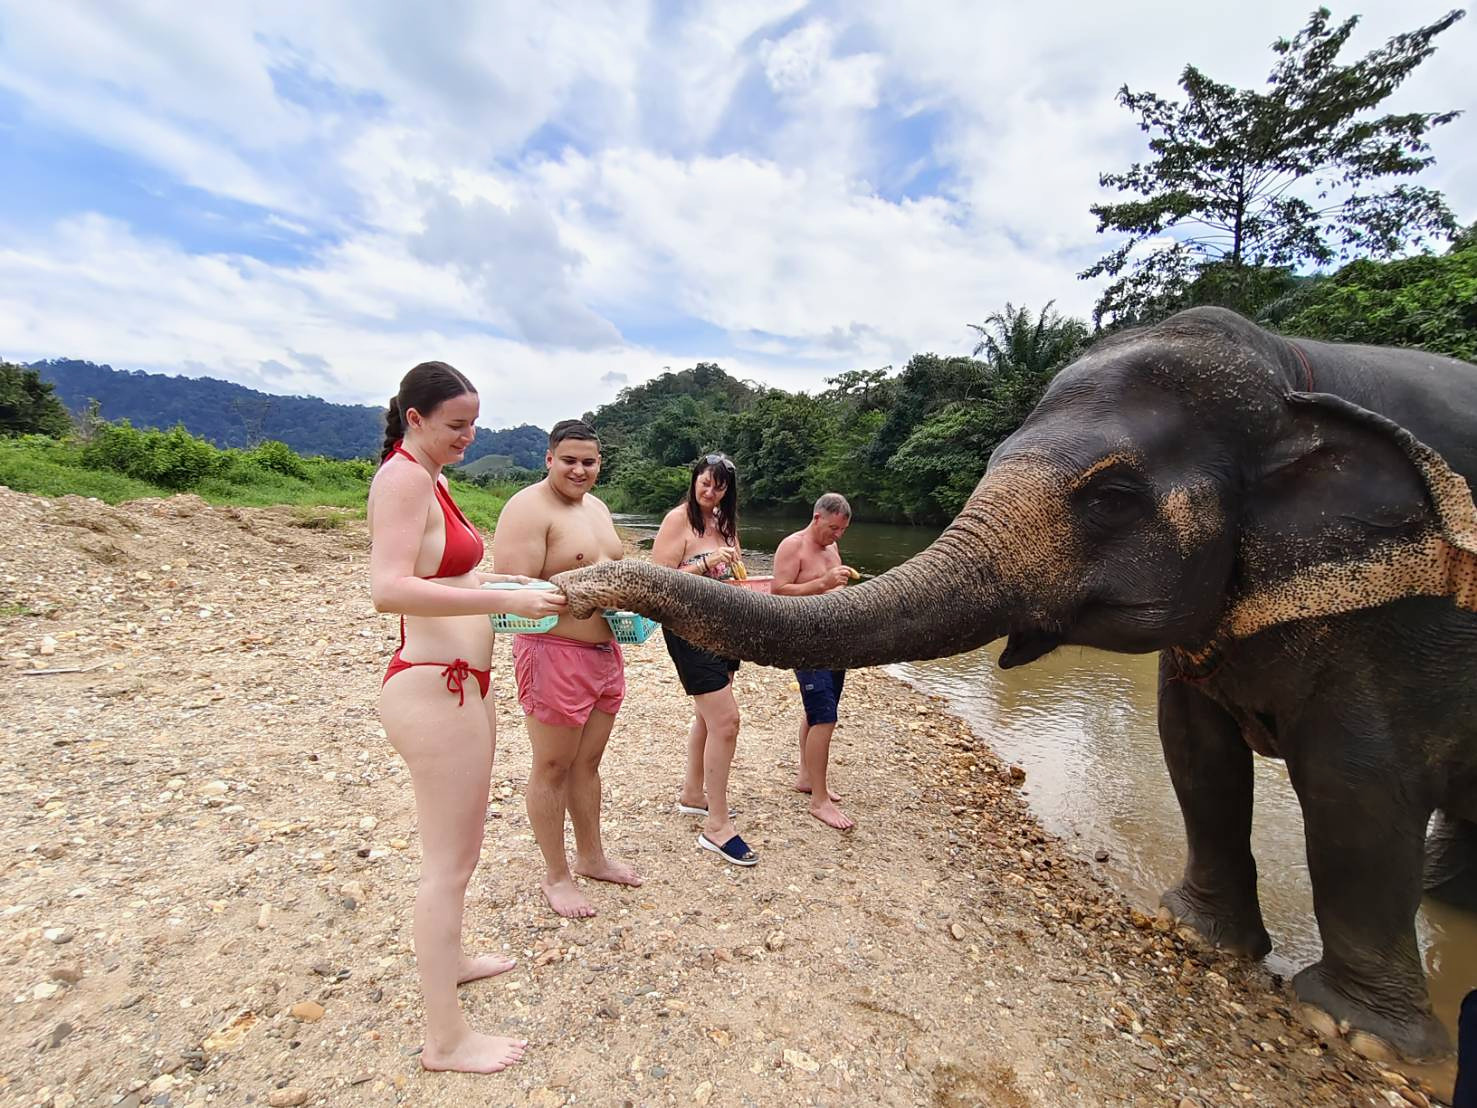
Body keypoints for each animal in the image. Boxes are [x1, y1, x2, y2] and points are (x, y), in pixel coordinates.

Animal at [555, 307, 1477, 1062]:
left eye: (1112, 496)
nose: (574, 589)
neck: (1294, 367)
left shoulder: (1408, 611)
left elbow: (1351, 781)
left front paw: (1351, 1031)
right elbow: (1197, 751)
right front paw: (1208, 941)